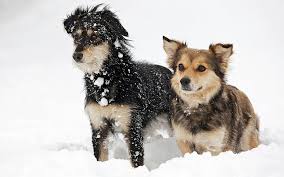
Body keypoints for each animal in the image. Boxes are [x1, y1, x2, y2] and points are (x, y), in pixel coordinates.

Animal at [63, 4, 172, 167]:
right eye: (76, 37)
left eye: (94, 37)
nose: (76, 56)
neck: (107, 80)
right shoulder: (98, 127)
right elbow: (100, 157)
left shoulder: (131, 126)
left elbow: (136, 160)